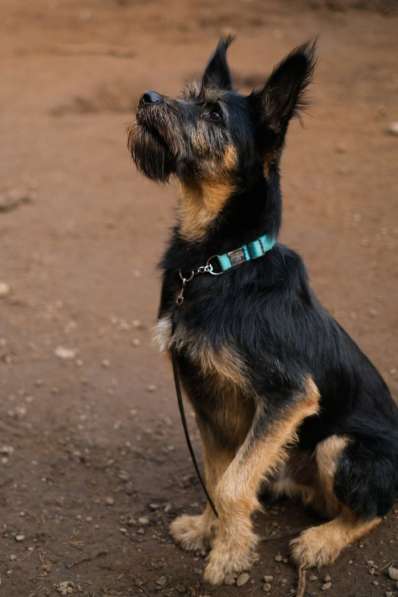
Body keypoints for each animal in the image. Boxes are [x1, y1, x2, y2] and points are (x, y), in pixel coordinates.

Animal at [128, 36, 398, 584]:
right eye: (189, 94)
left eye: (213, 112)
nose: (146, 97)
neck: (217, 262)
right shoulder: (206, 400)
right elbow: (217, 474)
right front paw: (207, 529)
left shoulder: (288, 394)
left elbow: (232, 484)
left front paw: (229, 556)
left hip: (340, 445)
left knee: (373, 510)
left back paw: (320, 541)